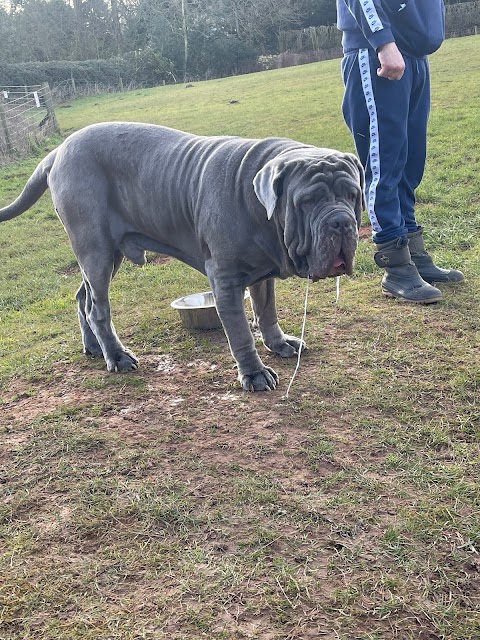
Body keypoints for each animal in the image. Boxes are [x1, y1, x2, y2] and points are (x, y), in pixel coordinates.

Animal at [0, 120, 364, 390]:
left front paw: (279, 343)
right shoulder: (225, 279)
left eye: (352, 194)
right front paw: (254, 373)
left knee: (82, 296)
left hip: (107, 254)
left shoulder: (262, 272)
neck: (260, 207)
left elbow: (267, 312)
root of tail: (58, 152)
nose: (341, 222)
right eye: (308, 201)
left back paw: (94, 348)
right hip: (95, 249)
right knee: (97, 308)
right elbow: (240, 332)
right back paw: (117, 357)